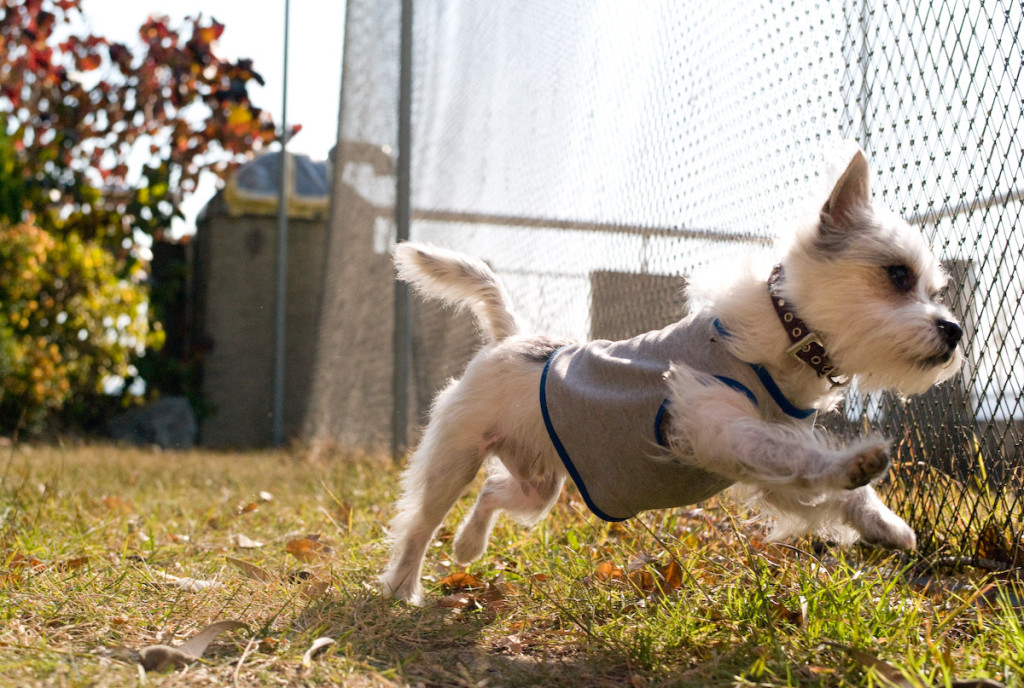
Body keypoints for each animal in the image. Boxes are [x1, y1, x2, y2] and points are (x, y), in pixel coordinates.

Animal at [380, 147, 962, 606]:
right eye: (897, 275)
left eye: (933, 290)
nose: (954, 330)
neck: (782, 338)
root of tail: (515, 338)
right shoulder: (719, 426)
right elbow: (806, 457)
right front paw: (856, 464)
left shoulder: (766, 467)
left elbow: (826, 486)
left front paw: (884, 523)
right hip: (455, 458)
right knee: (419, 524)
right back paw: (404, 587)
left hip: (538, 485)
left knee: (492, 493)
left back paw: (467, 546)